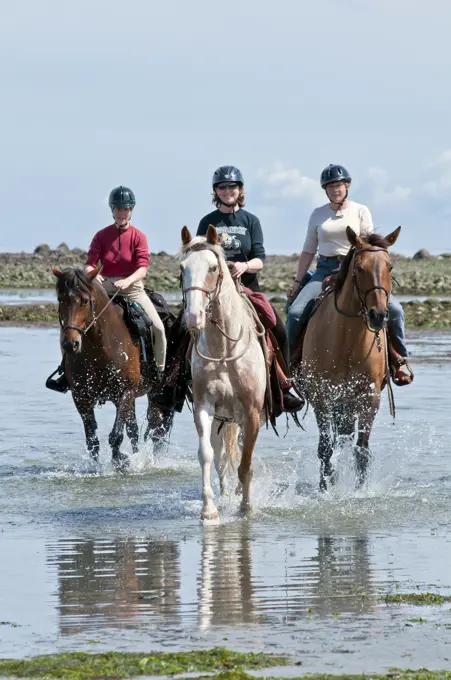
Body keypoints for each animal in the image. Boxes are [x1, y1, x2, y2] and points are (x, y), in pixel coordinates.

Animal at [52, 266, 171, 468]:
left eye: (85, 301)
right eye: (61, 299)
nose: (70, 344)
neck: (100, 346)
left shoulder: (124, 393)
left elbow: (115, 435)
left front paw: (120, 461)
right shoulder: (81, 397)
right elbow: (92, 440)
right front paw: (97, 467)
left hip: (153, 393)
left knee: (155, 430)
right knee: (133, 430)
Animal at [178, 226, 266, 516]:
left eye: (213, 268)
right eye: (182, 268)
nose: (193, 318)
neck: (224, 350)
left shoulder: (252, 413)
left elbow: (246, 463)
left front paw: (246, 508)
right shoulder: (204, 407)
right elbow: (206, 456)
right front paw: (209, 509)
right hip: (222, 418)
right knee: (221, 459)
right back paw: (226, 494)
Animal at [300, 228, 402, 488]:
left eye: (390, 266)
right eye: (358, 268)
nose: (378, 315)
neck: (347, 341)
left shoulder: (369, 396)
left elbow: (361, 449)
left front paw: (359, 490)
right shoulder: (321, 396)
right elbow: (325, 447)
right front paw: (325, 488)